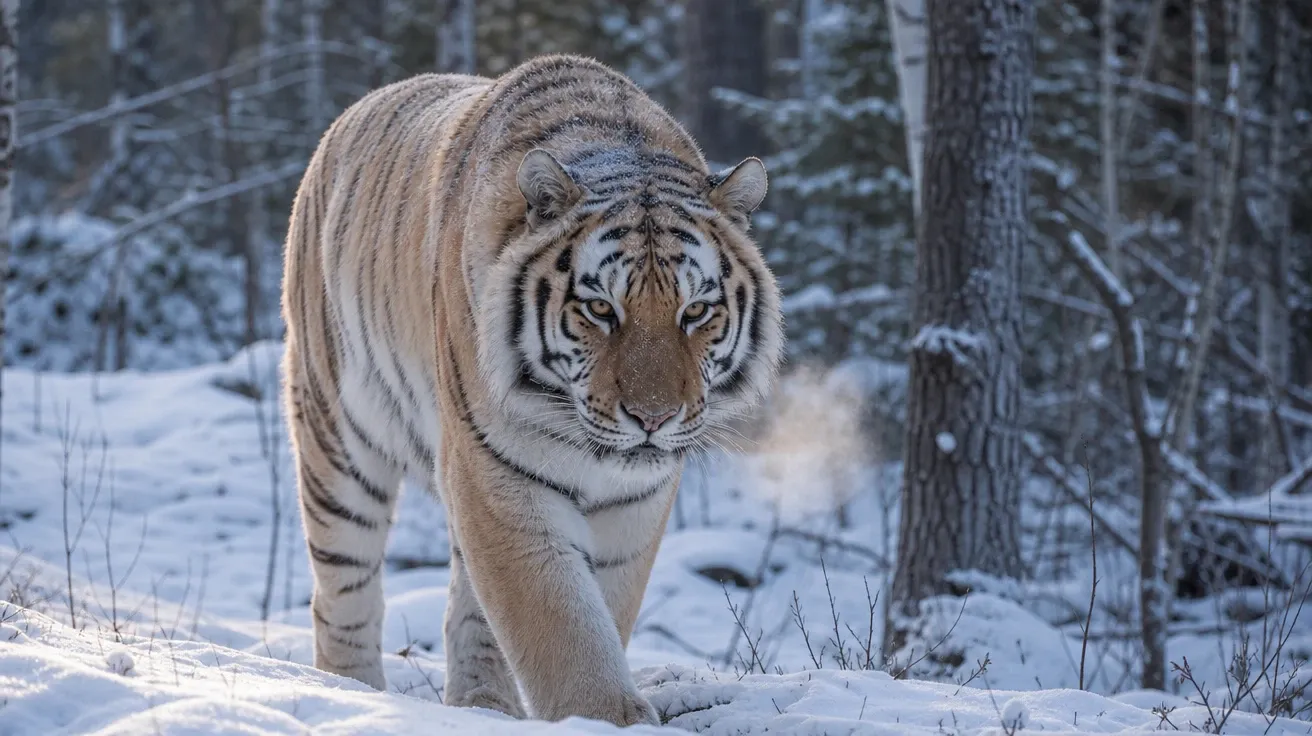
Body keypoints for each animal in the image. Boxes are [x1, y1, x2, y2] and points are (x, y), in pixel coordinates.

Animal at [280, 54, 784, 726]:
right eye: (600, 309)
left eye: (696, 311)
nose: (653, 418)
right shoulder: (496, 472)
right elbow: (557, 617)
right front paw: (605, 717)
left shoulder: (636, 498)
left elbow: (598, 607)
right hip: (338, 439)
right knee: (344, 590)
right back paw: (347, 692)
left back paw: (485, 708)